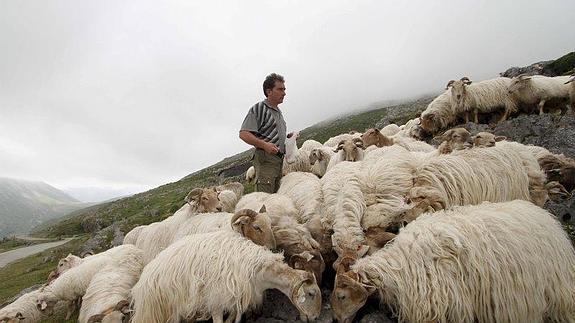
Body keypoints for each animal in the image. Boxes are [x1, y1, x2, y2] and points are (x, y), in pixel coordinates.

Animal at [129, 230, 324, 323]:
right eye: (311, 293)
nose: (315, 318)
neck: (258, 272)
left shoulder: (234, 301)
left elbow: (234, 319)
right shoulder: (216, 300)